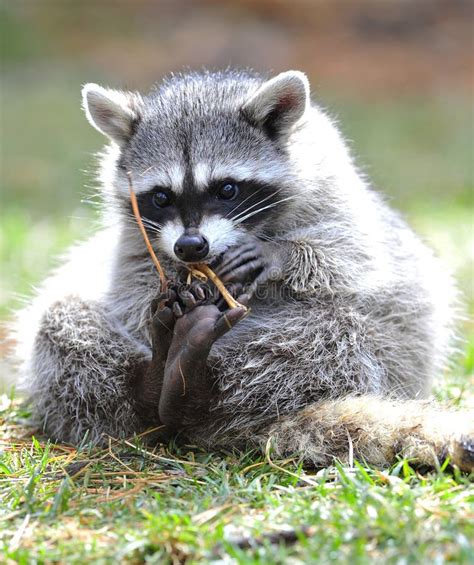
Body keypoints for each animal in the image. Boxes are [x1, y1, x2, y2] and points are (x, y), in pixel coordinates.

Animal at [12, 68, 472, 470]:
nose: (190, 246)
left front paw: (281, 255)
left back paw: (196, 385)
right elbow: (132, 283)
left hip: (390, 348)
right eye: (161, 197)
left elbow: (352, 252)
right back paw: (154, 378)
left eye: (227, 189)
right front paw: (171, 291)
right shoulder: (135, 237)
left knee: (339, 333)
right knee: (61, 323)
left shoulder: (332, 185)